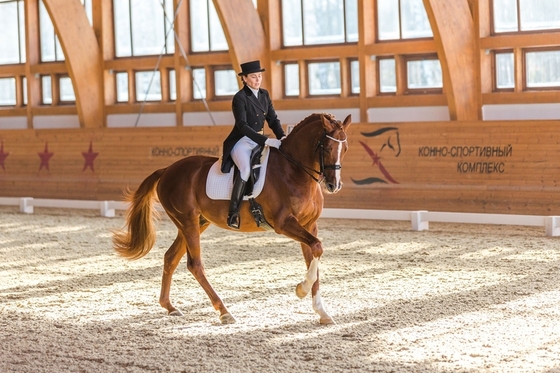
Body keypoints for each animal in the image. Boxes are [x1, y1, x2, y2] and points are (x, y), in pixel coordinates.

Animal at [112, 112, 352, 322]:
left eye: (346, 148)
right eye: (327, 147)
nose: (334, 185)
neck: (294, 171)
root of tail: (167, 170)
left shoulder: (309, 225)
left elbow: (314, 256)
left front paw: (322, 312)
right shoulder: (284, 223)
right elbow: (317, 248)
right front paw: (301, 289)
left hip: (197, 222)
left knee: (170, 257)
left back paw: (170, 307)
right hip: (187, 222)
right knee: (195, 264)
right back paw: (224, 311)